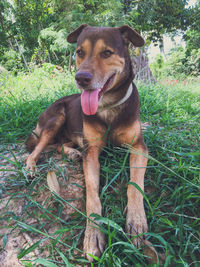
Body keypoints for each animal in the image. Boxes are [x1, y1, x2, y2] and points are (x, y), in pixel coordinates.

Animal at [25, 24, 149, 262]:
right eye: (79, 52)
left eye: (107, 53)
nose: (81, 78)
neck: (108, 107)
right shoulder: (92, 152)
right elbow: (92, 193)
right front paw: (93, 235)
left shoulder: (139, 146)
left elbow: (135, 184)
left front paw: (136, 220)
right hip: (56, 117)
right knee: (35, 150)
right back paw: (31, 167)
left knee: (59, 144)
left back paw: (72, 153)